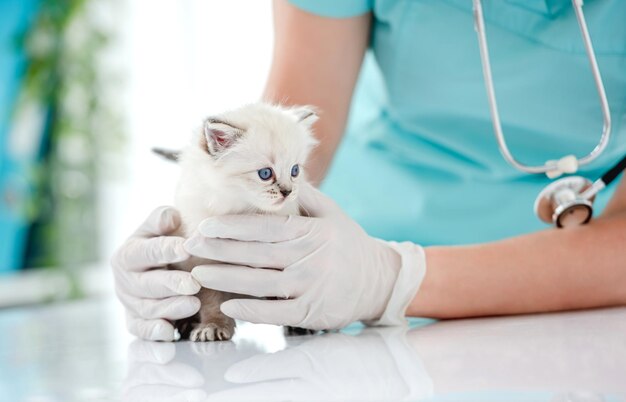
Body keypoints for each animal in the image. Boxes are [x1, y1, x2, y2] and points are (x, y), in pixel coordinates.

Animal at [167, 103, 316, 342]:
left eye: (295, 170)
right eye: (265, 173)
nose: (288, 192)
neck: (246, 211)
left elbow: (291, 296)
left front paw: (298, 323)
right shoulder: (201, 263)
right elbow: (212, 301)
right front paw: (213, 326)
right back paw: (187, 323)